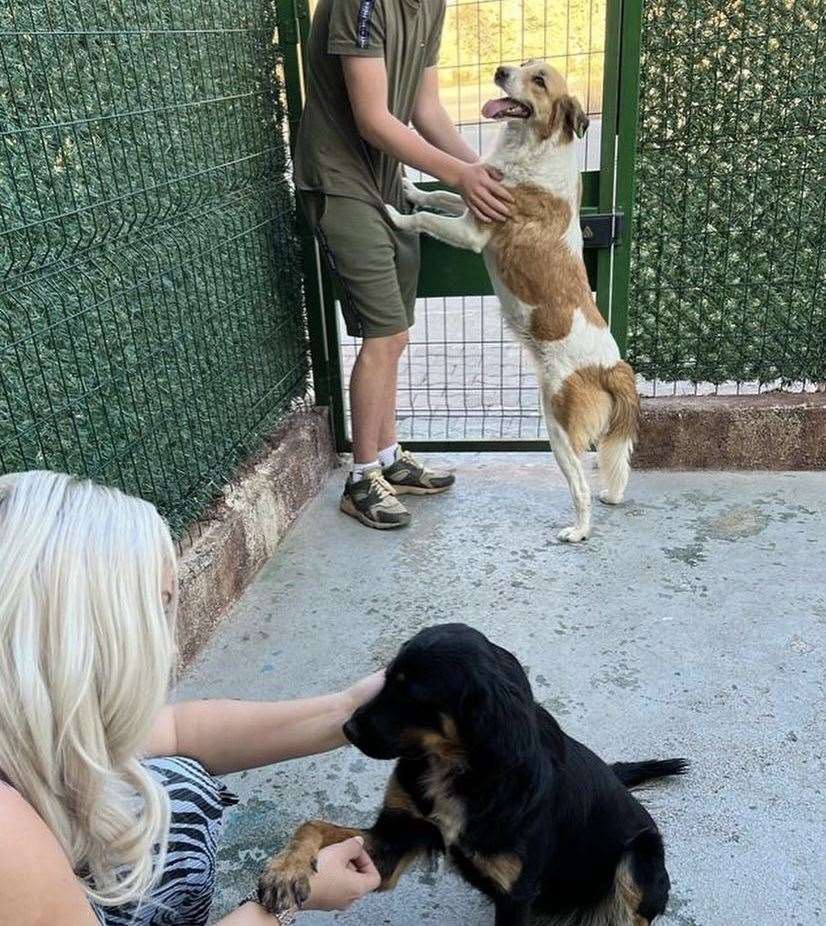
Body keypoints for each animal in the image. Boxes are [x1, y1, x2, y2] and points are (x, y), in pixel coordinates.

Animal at [258, 624, 684, 926]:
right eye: (386, 678)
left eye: (414, 695)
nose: (348, 729)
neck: (454, 767)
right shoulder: (394, 841)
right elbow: (312, 824)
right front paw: (284, 871)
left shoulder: (515, 896)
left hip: (638, 862)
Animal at [386, 61, 636, 544]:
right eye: (523, 64)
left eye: (539, 80)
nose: (501, 69)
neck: (534, 149)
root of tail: (611, 366)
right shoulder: (475, 195)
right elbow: (441, 194)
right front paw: (410, 187)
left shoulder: (471, 231)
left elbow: (424, 218)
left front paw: (394, 216)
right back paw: (612, 498)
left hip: (558, 429)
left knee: (579, 485)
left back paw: (578, 531)